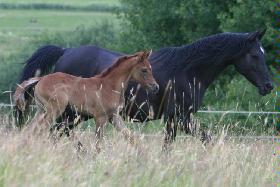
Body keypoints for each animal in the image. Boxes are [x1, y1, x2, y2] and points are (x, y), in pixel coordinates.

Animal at [14, 50, 159, 151]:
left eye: (151, 69)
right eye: (144, 70)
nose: (155, 87)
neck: (109, 85)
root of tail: (40, 79)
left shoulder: (114, 116)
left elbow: (131, 137)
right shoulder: (100, 118)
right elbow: (98, 144)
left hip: (42, 110)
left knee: (29, 130)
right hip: (54, 110)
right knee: (42, 130)